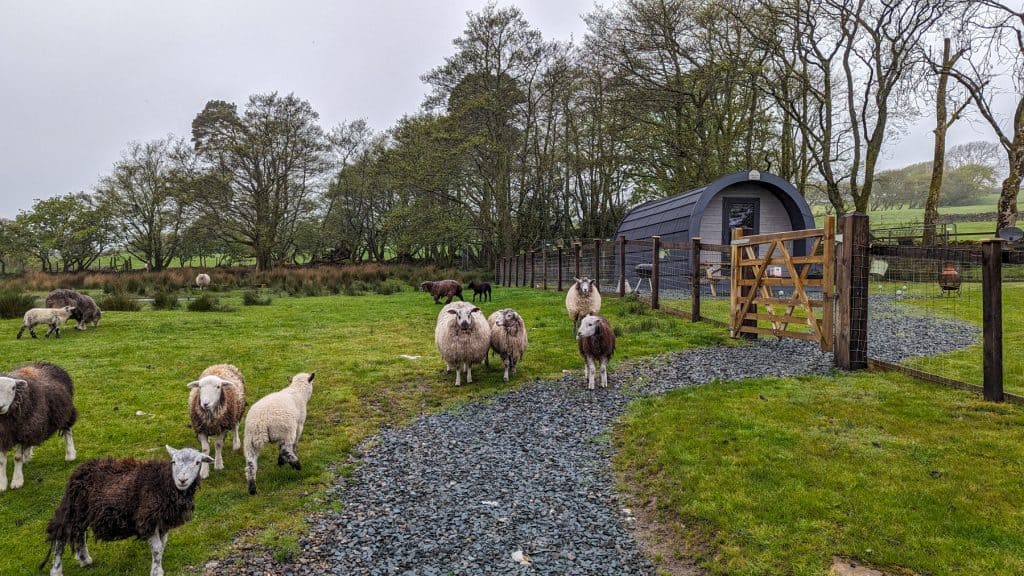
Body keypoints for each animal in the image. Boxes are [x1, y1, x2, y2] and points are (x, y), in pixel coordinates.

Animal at [0, 362, 77, 492]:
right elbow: (1, 461)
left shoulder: (22, 431)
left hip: (63, 411)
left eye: (13, 388)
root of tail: (45, 363)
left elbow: (17, 458)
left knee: (67, 430)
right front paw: (2, 483)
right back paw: (27, 455)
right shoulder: (4, 435)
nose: (1, 406)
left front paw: (17, 481)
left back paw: (70, 454)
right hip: (34, 423)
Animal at [40, 445, 213, 576]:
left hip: (83, 511)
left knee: (80, 533)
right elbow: (157, 548)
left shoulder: (162, 521)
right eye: (174, 461)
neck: (164, 482)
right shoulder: (147, 518)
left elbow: (162, 546)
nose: (182, 480)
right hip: (73, 508)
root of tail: (79, 469)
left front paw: (158, 567)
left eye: (198, 462)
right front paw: (156, 571)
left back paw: (85, 559)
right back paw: (56, 570)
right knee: (61, 536)